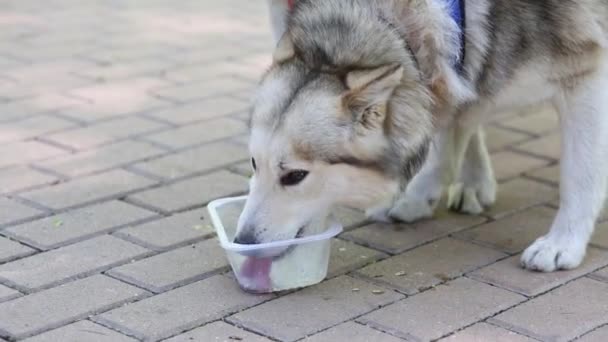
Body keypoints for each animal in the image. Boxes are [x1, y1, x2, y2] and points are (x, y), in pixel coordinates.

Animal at [234, 0, 608, 272]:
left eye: (295, 176)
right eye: (253, 163)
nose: (242, 242)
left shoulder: (588, 73)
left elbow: (581, 175)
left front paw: (563, 244)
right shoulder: (452, 69)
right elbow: (447, 127)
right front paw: (417, 196)